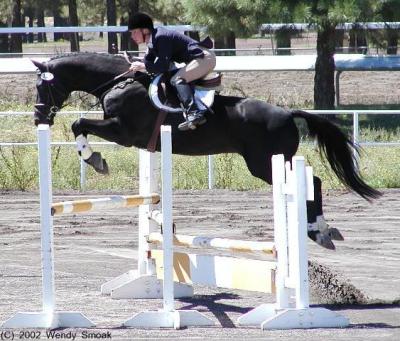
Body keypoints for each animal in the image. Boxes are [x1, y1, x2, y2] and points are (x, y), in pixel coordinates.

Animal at [31, 53, 382, 250]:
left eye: (41, 86)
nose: (38, 117)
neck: (118, 82)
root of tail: (287, 113)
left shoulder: (123, 132)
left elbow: (78, 124)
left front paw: (95, 159)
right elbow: (79, 125)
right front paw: (94, 158)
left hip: (267, 164)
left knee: (315, 183)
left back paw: (318, 231)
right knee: (315, 182)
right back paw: (322, 230)